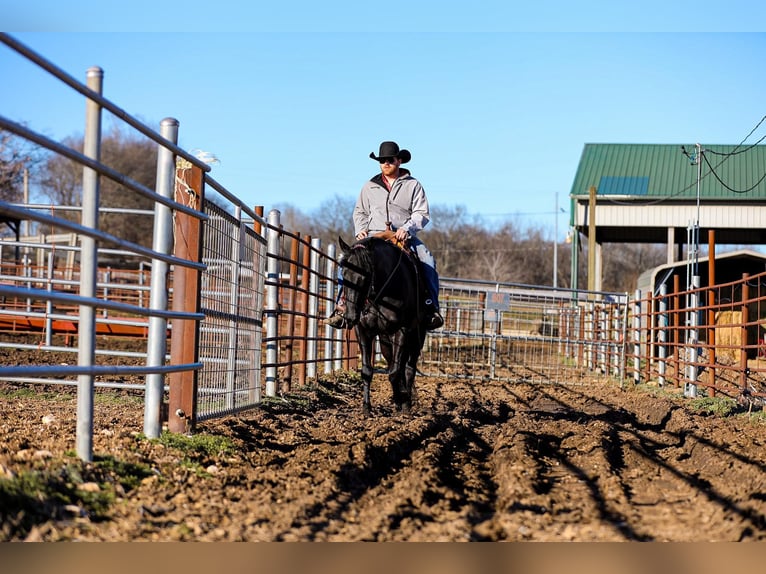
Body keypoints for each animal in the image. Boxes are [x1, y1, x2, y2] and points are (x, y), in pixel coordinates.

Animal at [338, 234, 428, 418]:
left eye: (365, 276)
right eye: (344, 273)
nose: (350, 316)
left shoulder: (403, 330)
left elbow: (395, 372)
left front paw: (402, 403)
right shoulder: (363, 330)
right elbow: (367, 371)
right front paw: (367, 408)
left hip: (417, 337)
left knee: (409, 368)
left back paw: (407, 401)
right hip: (386, 339)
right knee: (396, 364)